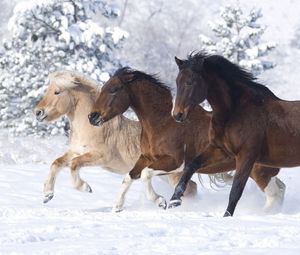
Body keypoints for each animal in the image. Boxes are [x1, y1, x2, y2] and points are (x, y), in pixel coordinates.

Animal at [34, 70, 198, 208]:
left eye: (57, 92)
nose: (37, 112)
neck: (92, 127)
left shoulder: (100, 157)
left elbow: (74, 165)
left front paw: (86, 188)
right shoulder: (75, 151)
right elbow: (56, 163)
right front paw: (47, 195)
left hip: (171, 173)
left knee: (191, 188)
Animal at [88, 66, 282, 212]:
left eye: (113, 90)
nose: (92, 117)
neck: (163, 122)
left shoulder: (175, 162)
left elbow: (145, 175)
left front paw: (161, 201)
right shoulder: (146, 158)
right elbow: (129, 177)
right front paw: (117, 207)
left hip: (258, 171)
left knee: (275, 194)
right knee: (279, 189)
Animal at [171, 52, 292, 216]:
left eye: (190, 82)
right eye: (177, 81)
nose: (177, 115)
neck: (235, 111)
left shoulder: (246, 155)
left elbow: (235, 191)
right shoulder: (220, 150)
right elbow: (190, 167)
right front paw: (173, 201)